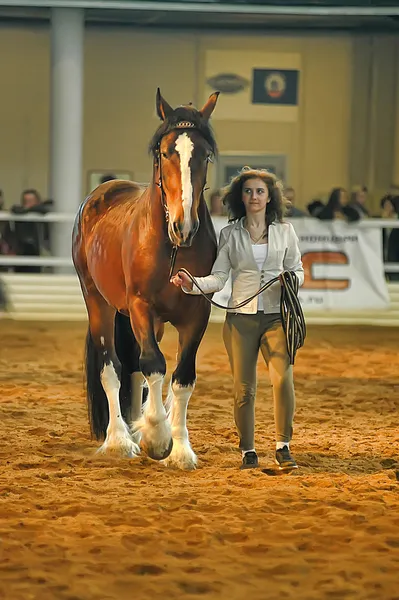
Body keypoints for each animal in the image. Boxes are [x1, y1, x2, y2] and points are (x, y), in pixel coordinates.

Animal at [73, 89, 220, 472]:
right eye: (165, 152)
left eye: (205, 154)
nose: (184, 226)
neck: (171, 247)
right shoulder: (139, 305)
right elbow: (154, 365)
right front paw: (157, 438)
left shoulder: (197, 313)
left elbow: (182, 377)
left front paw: (180, 449)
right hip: (99, 302)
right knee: (113, 368)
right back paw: (119, 440)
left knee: (135, 371)